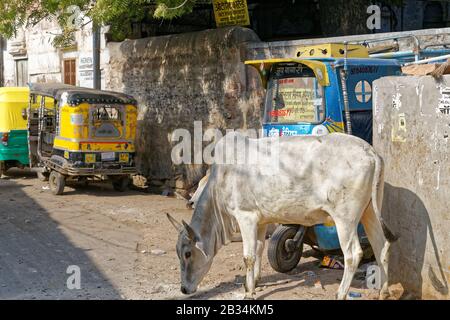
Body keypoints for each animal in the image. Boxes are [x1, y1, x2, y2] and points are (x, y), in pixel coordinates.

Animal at [167, 132, 396, 300]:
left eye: (187, 253)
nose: (184, 289)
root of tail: (370, 151)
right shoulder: (260, 221)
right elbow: (259, 250)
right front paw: (254, 282)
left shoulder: (245, 217)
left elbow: (248, 256)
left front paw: (249, 293)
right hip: (369, 211)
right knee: (381, 245)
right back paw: (383, 292)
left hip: (345, 218)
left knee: (353, 254)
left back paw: (341, 293)